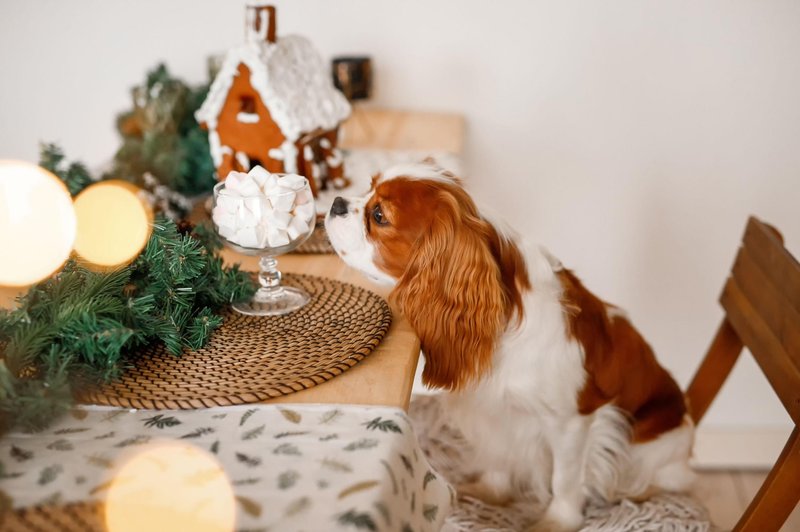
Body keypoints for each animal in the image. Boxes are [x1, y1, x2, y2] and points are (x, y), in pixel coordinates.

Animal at [324, 164, 692, 528]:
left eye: (379, 215)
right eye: (368, 187)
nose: (337, 202)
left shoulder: (571, 421)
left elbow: (565, 479)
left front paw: (558, 521)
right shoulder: (493, 411)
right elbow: (500, 453)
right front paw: (491, 491)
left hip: (650, 450)